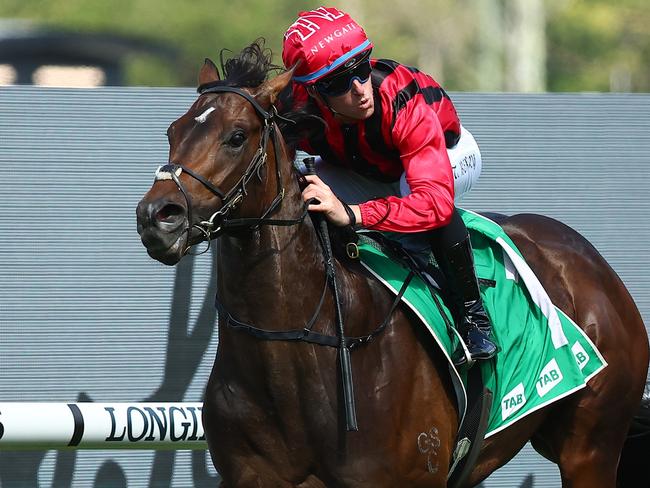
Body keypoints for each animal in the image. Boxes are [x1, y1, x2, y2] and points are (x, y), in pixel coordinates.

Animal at [137, 43, 648, 486]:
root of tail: (592, 261)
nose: (157, 217)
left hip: (590, 448)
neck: (295, 346)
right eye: (172, 131)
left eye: (236, 137)